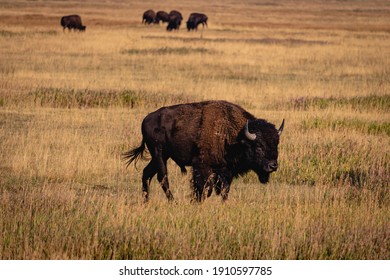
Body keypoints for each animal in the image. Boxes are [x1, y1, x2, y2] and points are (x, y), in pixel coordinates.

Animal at [123, 99, 284, 202]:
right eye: (259, 146)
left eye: (276, 144)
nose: (273, 166)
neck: (235, 135)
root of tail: (146, 119)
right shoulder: (202, 166)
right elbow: (203, 188)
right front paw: (195, 202)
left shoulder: (226, 171)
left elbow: (224, 190)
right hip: (159, 154)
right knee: (162, 177)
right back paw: (172, 201)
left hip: (162, 156)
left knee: (147, 173)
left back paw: (146, 201)